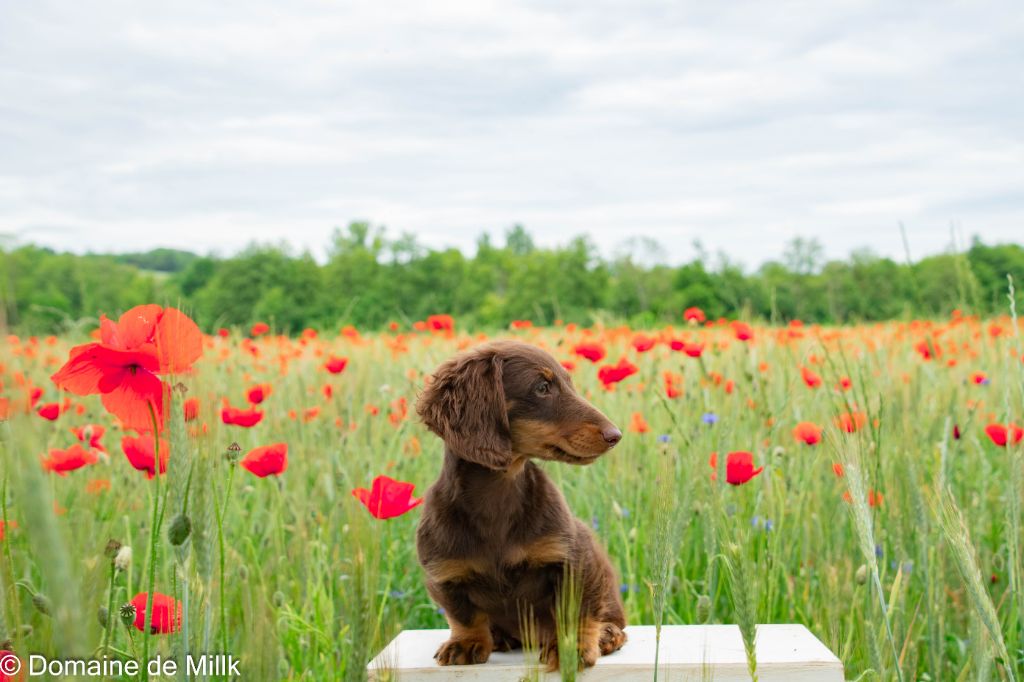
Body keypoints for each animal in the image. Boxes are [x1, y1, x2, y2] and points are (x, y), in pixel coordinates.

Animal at [413, 337, 622, 667]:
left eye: (569, 383)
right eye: (542, 387)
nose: (616, 435)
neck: (498, 496)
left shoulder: (574, 558)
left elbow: (574, 609)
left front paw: (572, 648)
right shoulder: (444, 573)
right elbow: (463, 614)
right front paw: (465, 643)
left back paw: (607, 634)